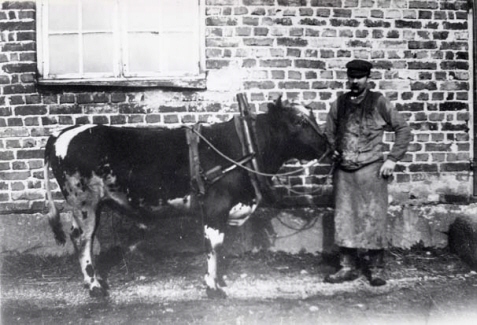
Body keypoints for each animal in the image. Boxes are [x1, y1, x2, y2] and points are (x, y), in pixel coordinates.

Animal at [43, 95, 328, 296]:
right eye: (298, 121)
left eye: (312, 115)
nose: (327, 144)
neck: (246, 146)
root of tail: (61, 133)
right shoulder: (216, 205)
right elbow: (214, 245)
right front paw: (213, 287)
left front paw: (218, 281)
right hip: (84, 202)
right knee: (83, 239)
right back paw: (94, 286)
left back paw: (95, 280)